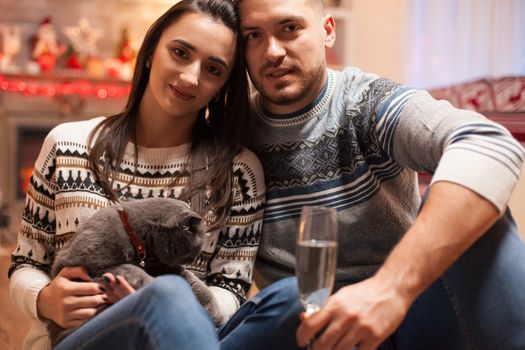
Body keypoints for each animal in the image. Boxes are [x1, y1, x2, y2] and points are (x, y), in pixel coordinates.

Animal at [46, 198, 223, 346]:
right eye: (199, 243)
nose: (194, 258)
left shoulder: (166, 267)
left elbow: (195, 282)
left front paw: (217, 313)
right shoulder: (90, 262)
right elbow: (131, 268)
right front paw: (154, 283)